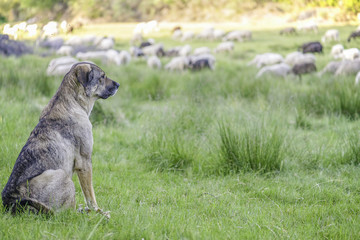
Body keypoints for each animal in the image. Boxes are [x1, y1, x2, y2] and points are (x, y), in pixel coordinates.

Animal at [1, 62, 119, 219]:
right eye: (102, 77)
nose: (118, 84)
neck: (73, 101)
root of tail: (11, 203)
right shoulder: (84, 161)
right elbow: (90, 195)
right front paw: (98, 211)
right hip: (62, 175)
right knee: (67, 213)